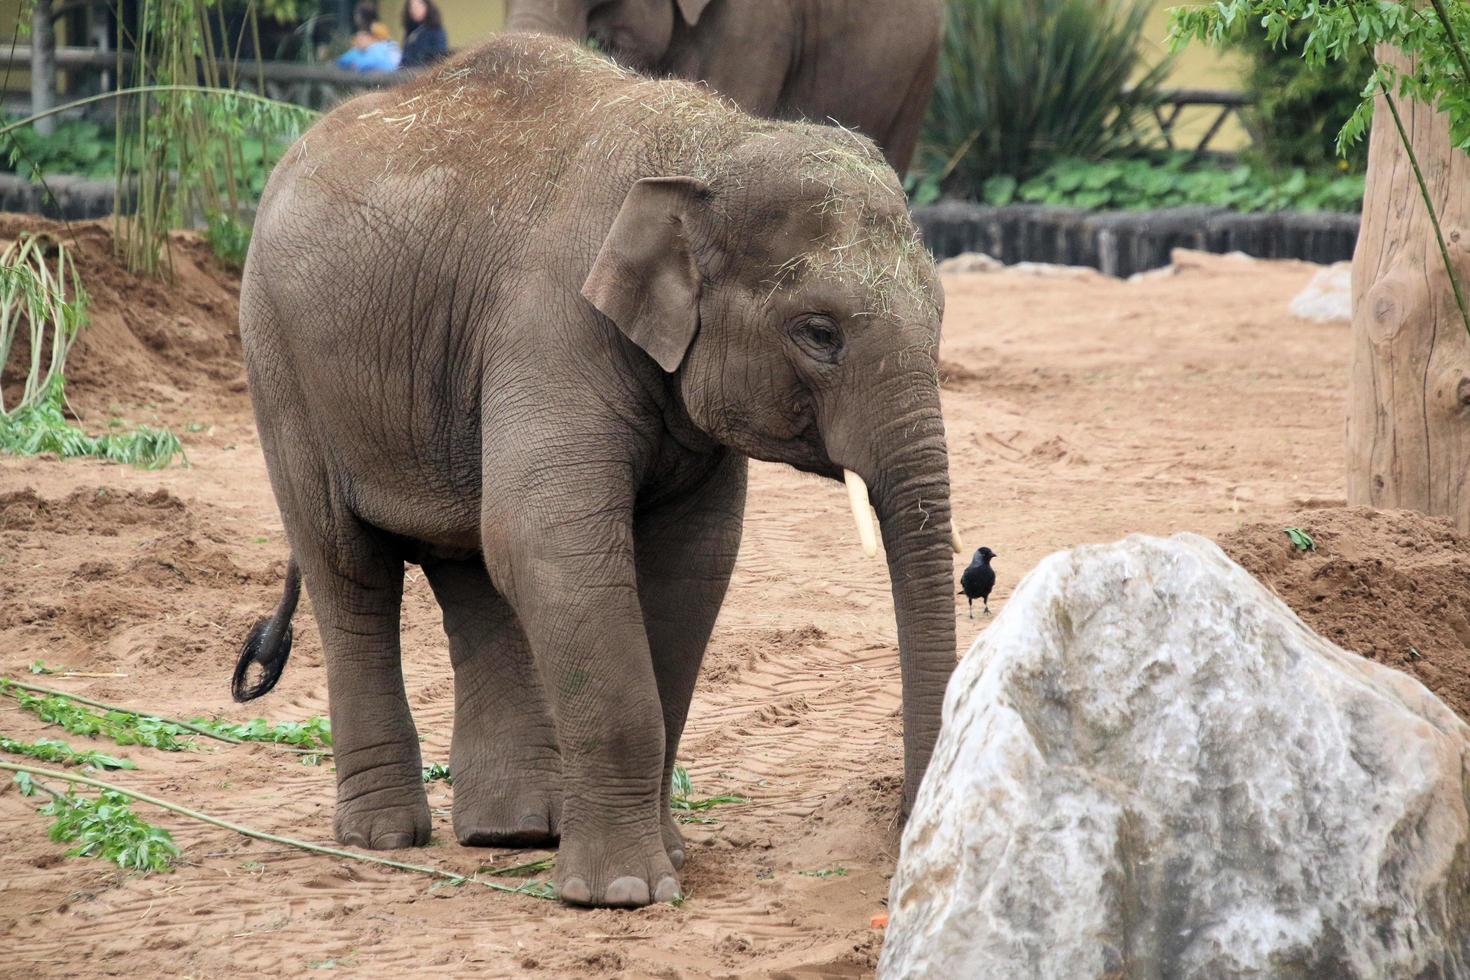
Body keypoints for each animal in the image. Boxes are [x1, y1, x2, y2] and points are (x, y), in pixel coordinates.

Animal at [233, 34, 958, 910]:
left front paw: (665, 859)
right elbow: (550, 540)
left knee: (471, 566)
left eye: (943, 315)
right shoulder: (552, 321)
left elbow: (690, 562)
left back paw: (513, 832)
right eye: (819, 333)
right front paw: (623, 894)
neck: (710, 145)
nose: (900, 839)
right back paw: (384, 838)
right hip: (280, 360)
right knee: (350, 570)